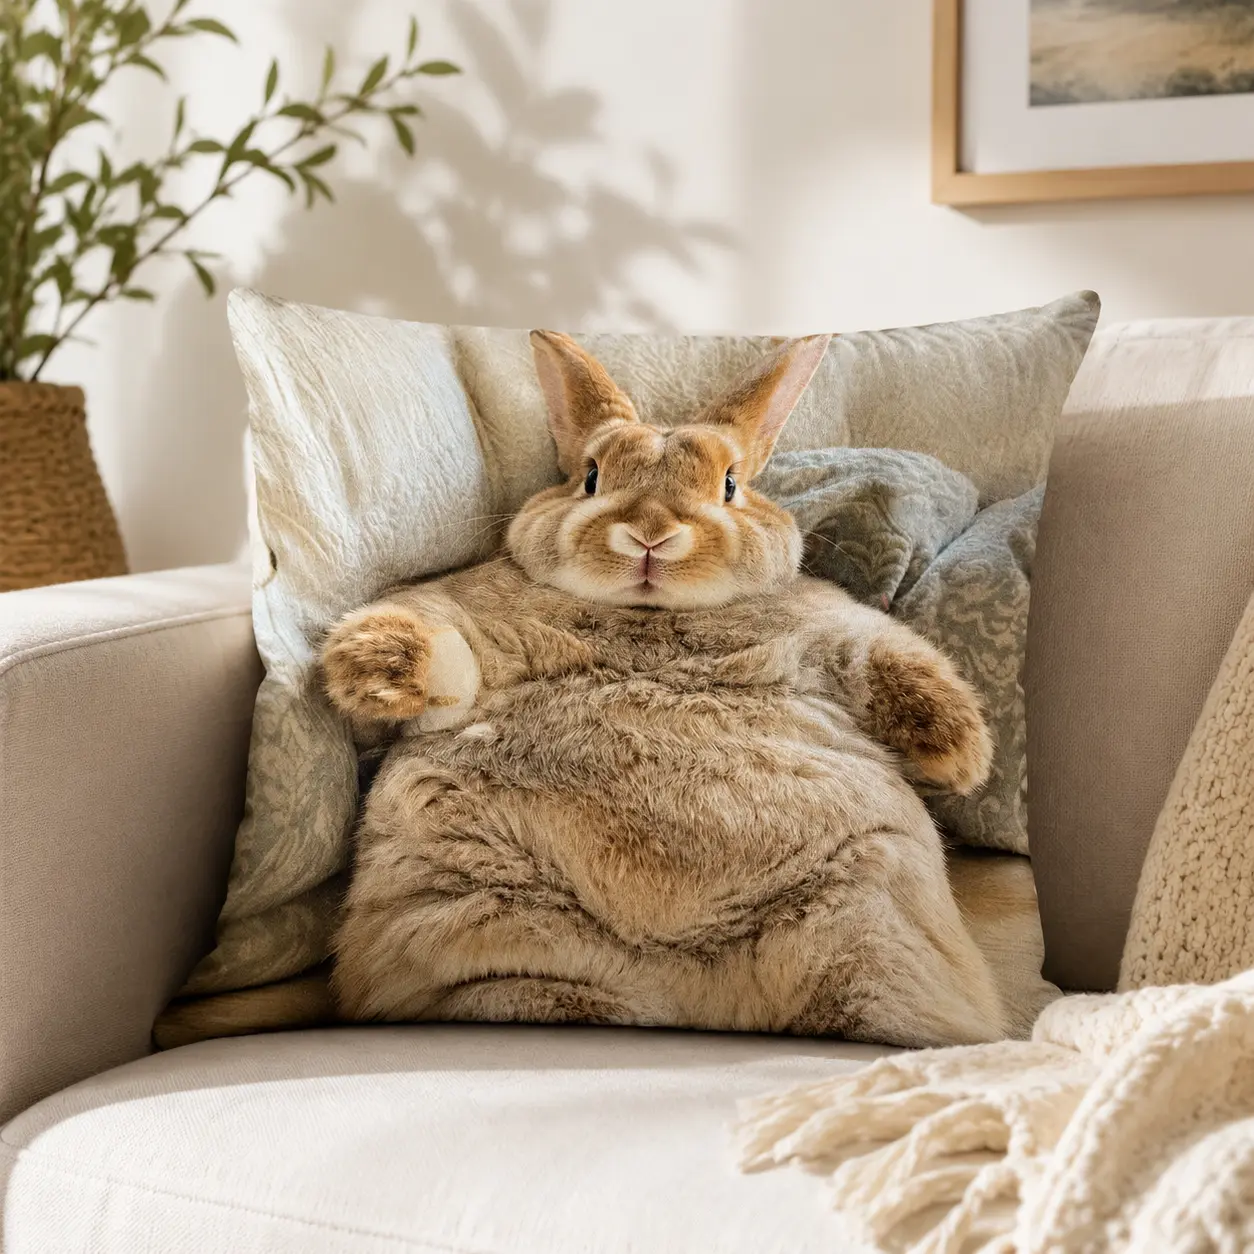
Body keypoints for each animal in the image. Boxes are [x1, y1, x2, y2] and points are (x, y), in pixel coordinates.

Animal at [320, 330, 1008, 1048]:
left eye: (729, 484)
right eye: (592, 476)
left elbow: (896, 660)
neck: (649, 617)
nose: (651, 534)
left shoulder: (837, 629)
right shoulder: (463, 610)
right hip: (481, 930)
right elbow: (439, 640)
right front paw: (375, 668)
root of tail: (691, 1004)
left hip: (865, 924)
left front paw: (963, 758)